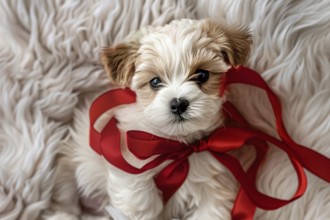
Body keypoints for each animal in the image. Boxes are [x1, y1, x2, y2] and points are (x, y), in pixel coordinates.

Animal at [72, 19, 251, 220]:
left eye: (202, 75)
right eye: (155, 82)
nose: (178, 104)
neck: (178, 148)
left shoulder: (216, 181)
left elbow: (212, 209)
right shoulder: (128, 159)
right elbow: (140, 201)